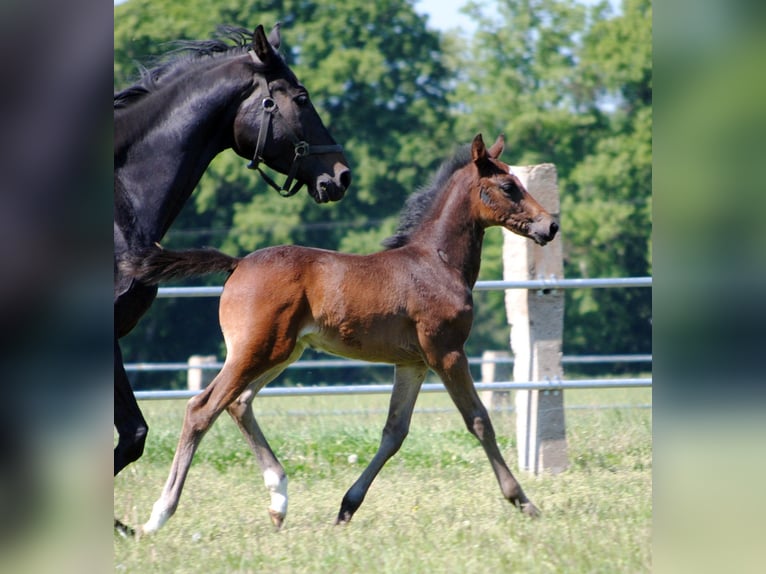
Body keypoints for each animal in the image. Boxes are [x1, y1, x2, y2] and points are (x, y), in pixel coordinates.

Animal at [124, 136, 560, 536]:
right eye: (509, 187)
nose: (551, 225)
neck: (436, 263)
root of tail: (238, 264)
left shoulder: (413, 363)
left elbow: (394, 432)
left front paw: (347, 507)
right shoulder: (447, 352)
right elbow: (479, 420)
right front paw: (523, 500)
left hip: (281, 353)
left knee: (239, 403)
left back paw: (278, 501)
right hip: (256, 351)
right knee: (202, 408)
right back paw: (158, 515)